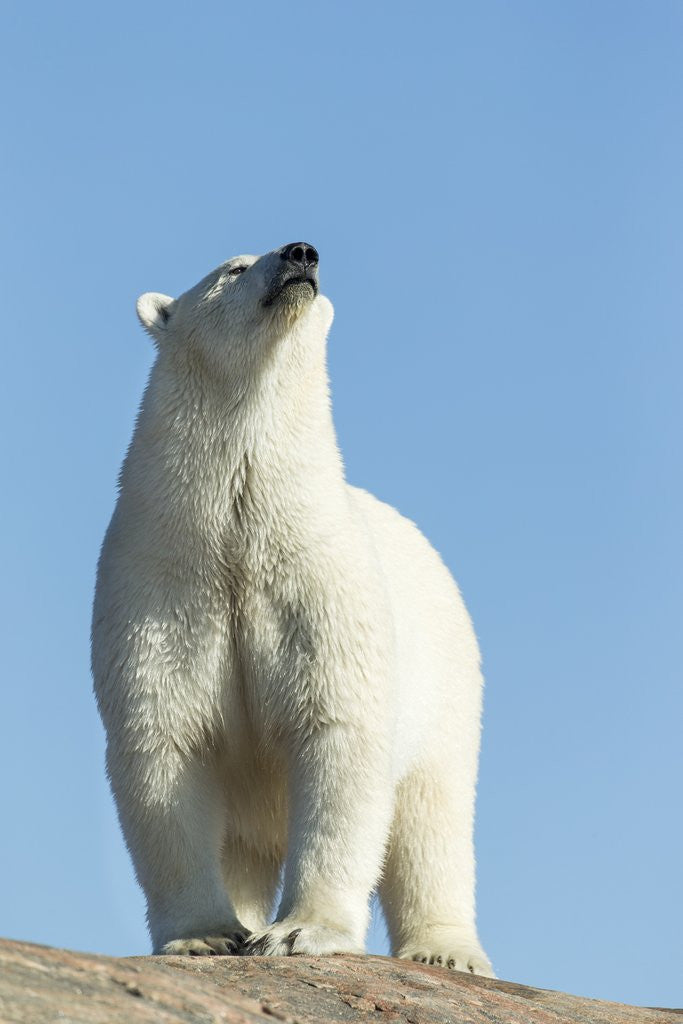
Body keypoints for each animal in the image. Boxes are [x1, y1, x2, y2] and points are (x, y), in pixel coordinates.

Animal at [92, 241, 494, 975]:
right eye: (232, 267)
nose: (300, 254)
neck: (235, 540)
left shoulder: (320, 600)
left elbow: (338, 739)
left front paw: (300, 931)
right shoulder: (161, 593)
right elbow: (165, 748)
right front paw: (204, 935)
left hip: (447, 687)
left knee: (433, 814)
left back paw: (445, 951)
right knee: (246, 848)